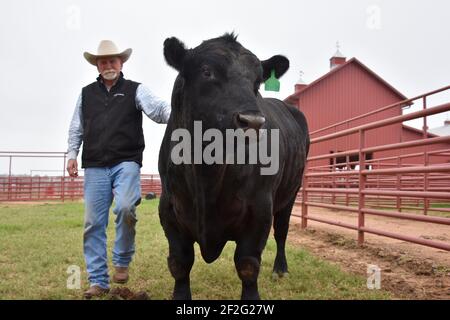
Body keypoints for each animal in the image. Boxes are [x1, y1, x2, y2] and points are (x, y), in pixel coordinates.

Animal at [158, 33, 310, 298]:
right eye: (207, 71)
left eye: (257, 82)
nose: (253, 121)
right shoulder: (169, 209)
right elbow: (179, 263)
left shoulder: (260, 210)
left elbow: (248, 264)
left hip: (291, 192)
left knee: (281, 231)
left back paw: (280, 269)